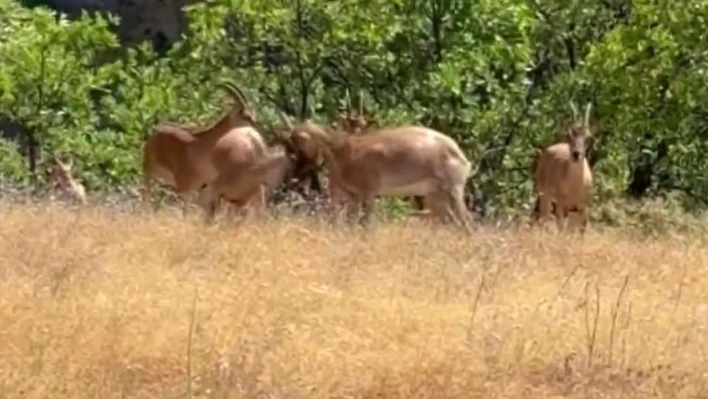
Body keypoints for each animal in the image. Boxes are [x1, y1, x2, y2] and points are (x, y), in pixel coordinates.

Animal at [141, 79, 266, 214]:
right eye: (245, 115)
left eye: (253, 113)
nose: (258, 125)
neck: (201, 146)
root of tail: (155, 132)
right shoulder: (185, 188)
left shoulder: (201, 188)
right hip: (150, 175)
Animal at [532, 102, 596, 234]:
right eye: (569, 135)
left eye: (588, 137)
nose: (576, 154)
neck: (575, 186)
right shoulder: (562, 206)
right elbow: (561, 229)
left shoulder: (583, 207)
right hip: (544, 194)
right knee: (543, 217)